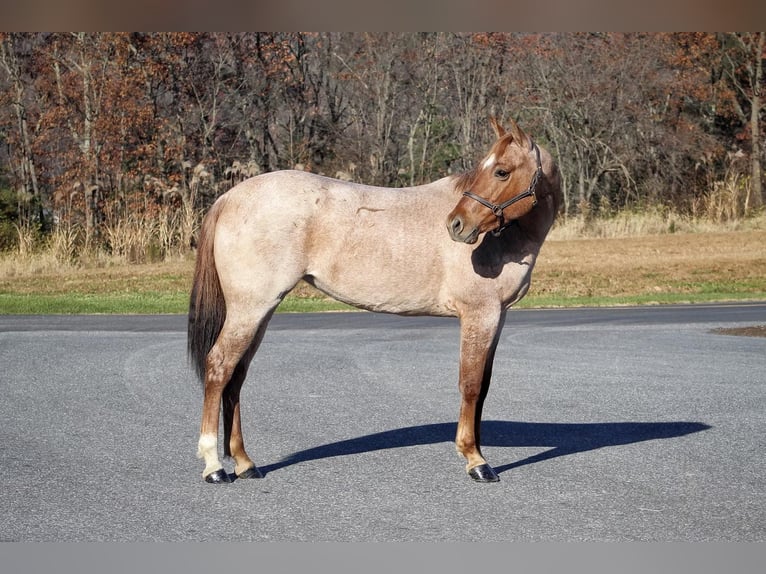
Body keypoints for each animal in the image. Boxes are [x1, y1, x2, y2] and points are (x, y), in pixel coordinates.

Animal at [189, 118, 564, 486]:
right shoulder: (479, 315)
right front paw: (476, 460)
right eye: (491, 169)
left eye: (500, 171)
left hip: (260, 312)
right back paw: (214, 466)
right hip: (249, 310)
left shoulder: (497, 317)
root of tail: (229, 199)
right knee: (219, 367)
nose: (457, 225)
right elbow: (470, 385)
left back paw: (244, 462)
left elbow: (483, 387)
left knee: (236, 376)